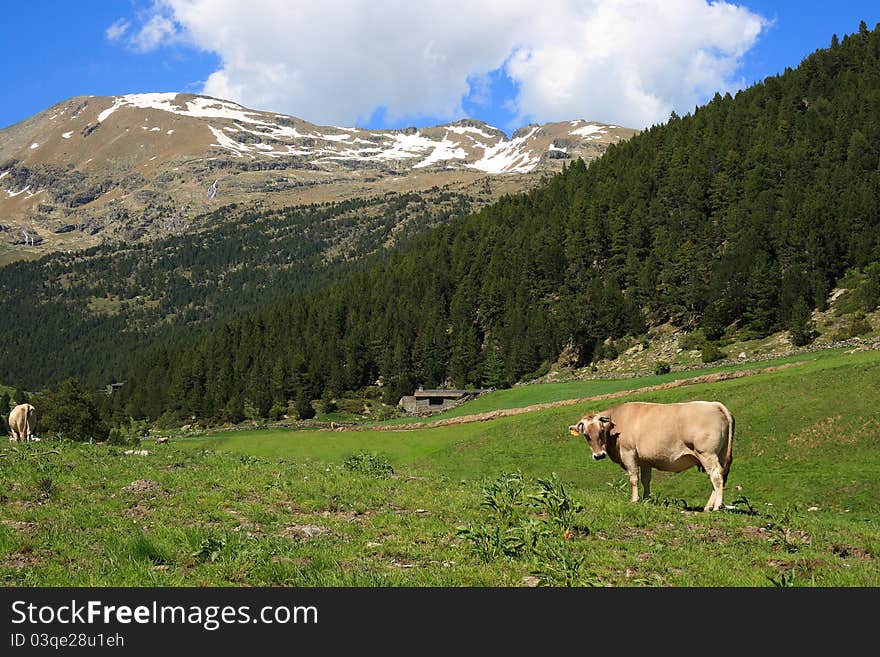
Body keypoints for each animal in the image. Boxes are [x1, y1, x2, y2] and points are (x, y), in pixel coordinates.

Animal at [568, 400, 732, 512]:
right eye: (586, 435)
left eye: (601, 431)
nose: (599, 455)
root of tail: (715, 404)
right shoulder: (645, 460)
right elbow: (646, 480)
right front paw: (647, 499)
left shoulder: (628, 454)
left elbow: (634, 478)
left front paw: (634, 500)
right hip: (720, 454)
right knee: (720, 477)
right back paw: (708, 507)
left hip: (707, 454)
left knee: (716, 476)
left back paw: (717, 506)